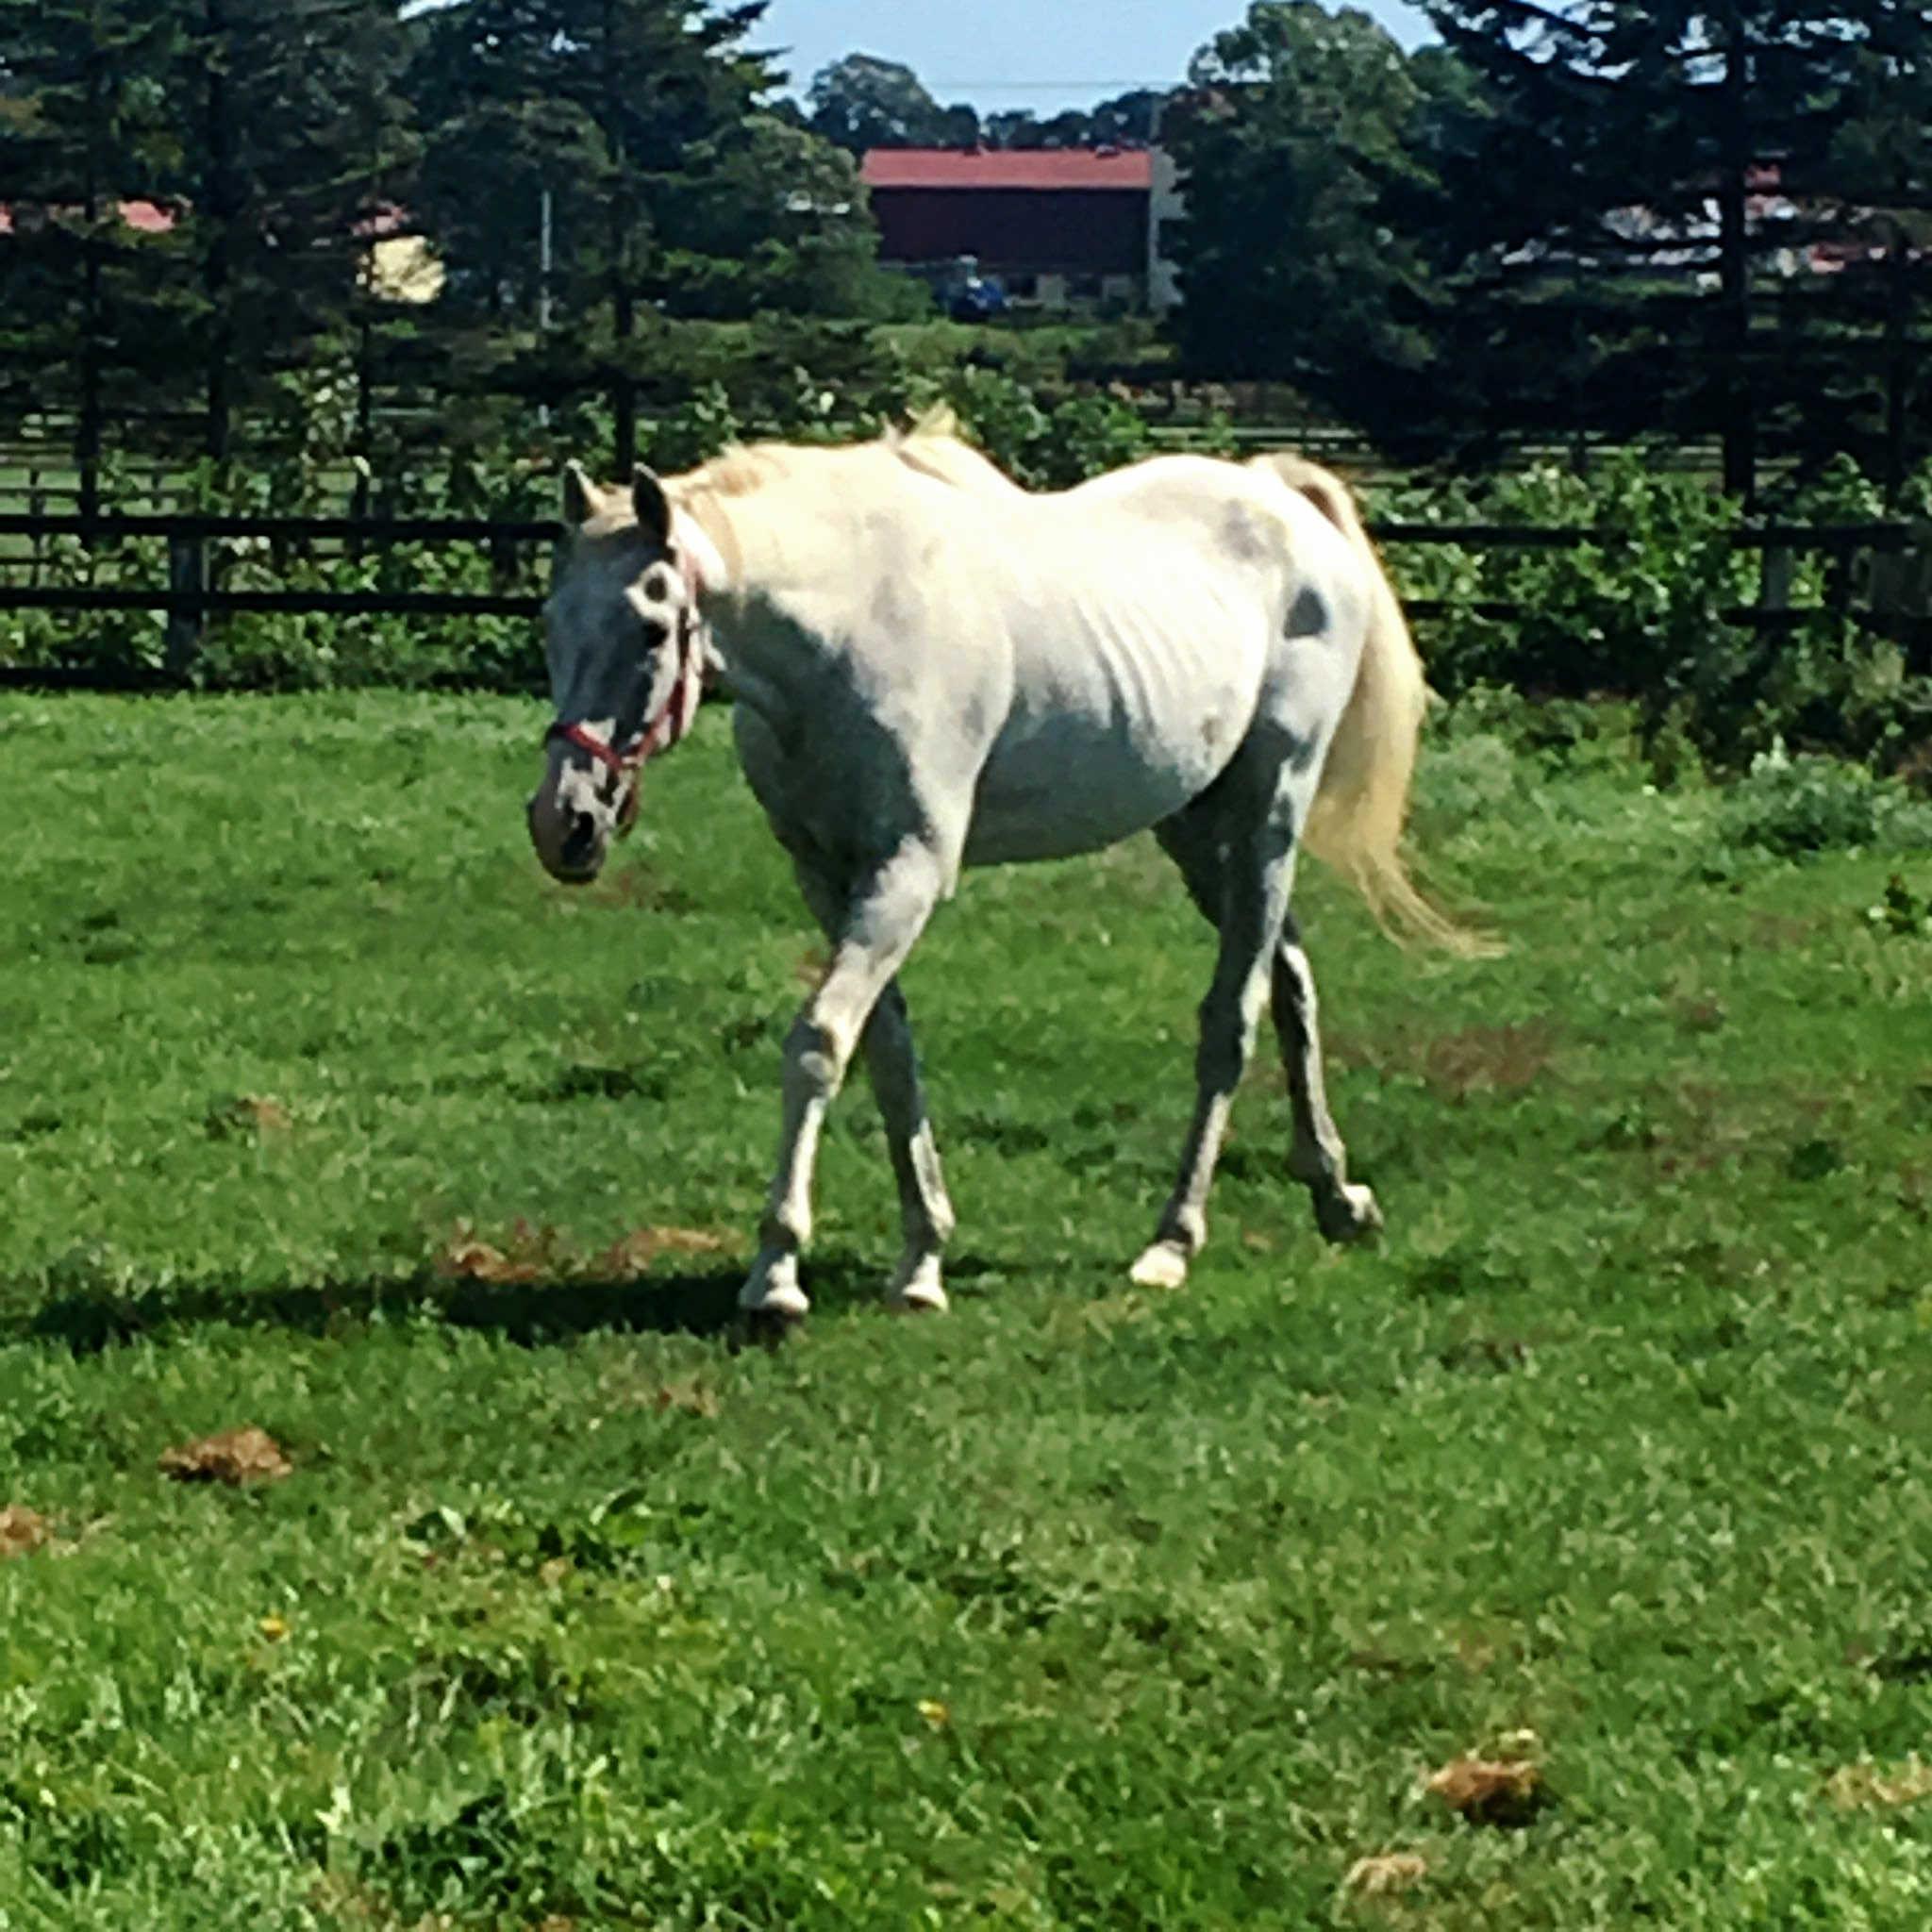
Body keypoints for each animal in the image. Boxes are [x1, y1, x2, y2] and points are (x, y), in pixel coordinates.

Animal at [529, 419, 1475, 1329]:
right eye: (551, 623)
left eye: (652, 629)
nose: (563, 822)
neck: (851, 627)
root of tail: (1279, 496)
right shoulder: (829, 876)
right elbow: (887, 1053)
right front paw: (922, 1260)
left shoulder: (909, 870)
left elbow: (821, 1043)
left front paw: (778, 1275)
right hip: (1197, 829)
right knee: (1291, 982)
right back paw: (1337, 1195)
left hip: (1268, 814)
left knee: (1232, 1018)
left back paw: (1173, 1240)